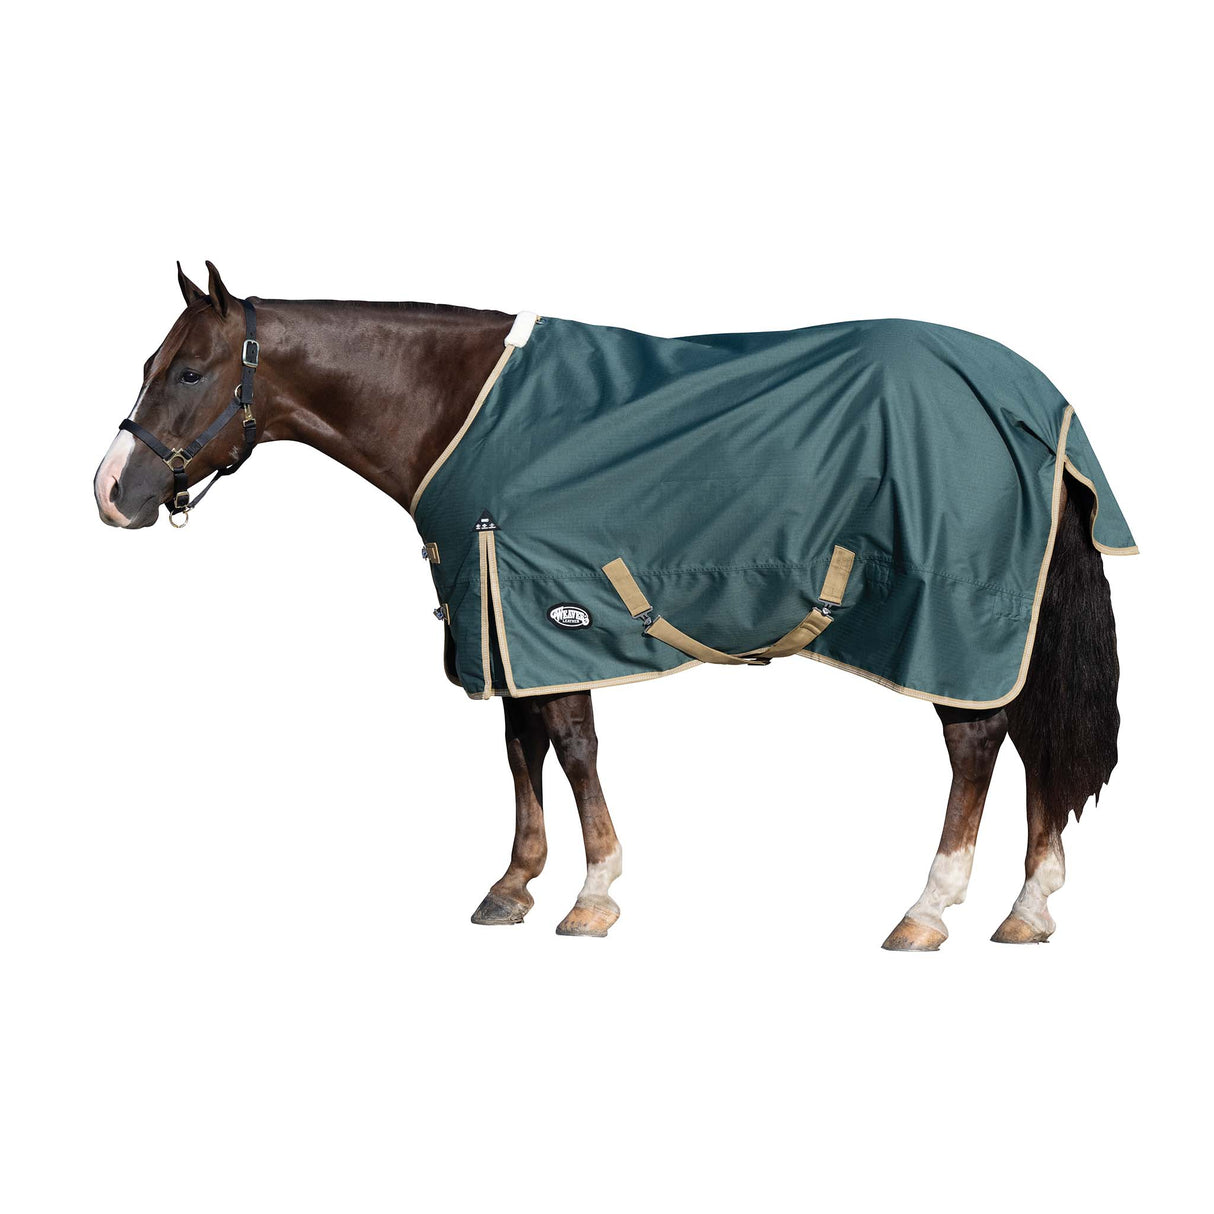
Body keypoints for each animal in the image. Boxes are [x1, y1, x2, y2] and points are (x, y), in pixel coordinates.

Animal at [94, 262, 1133, 947]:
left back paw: (927, 910)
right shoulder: (496, 613)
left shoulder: (547, 607)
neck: (460, 407)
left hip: (956, 617)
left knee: (976, 742)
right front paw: (511, 887)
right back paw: (1028, 910)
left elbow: (572, 744)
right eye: (149, 361)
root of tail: (1033, 399)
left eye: (189, 371)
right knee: (1031, 738)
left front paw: (592, 896)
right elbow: (521, 746)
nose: (110, 493)